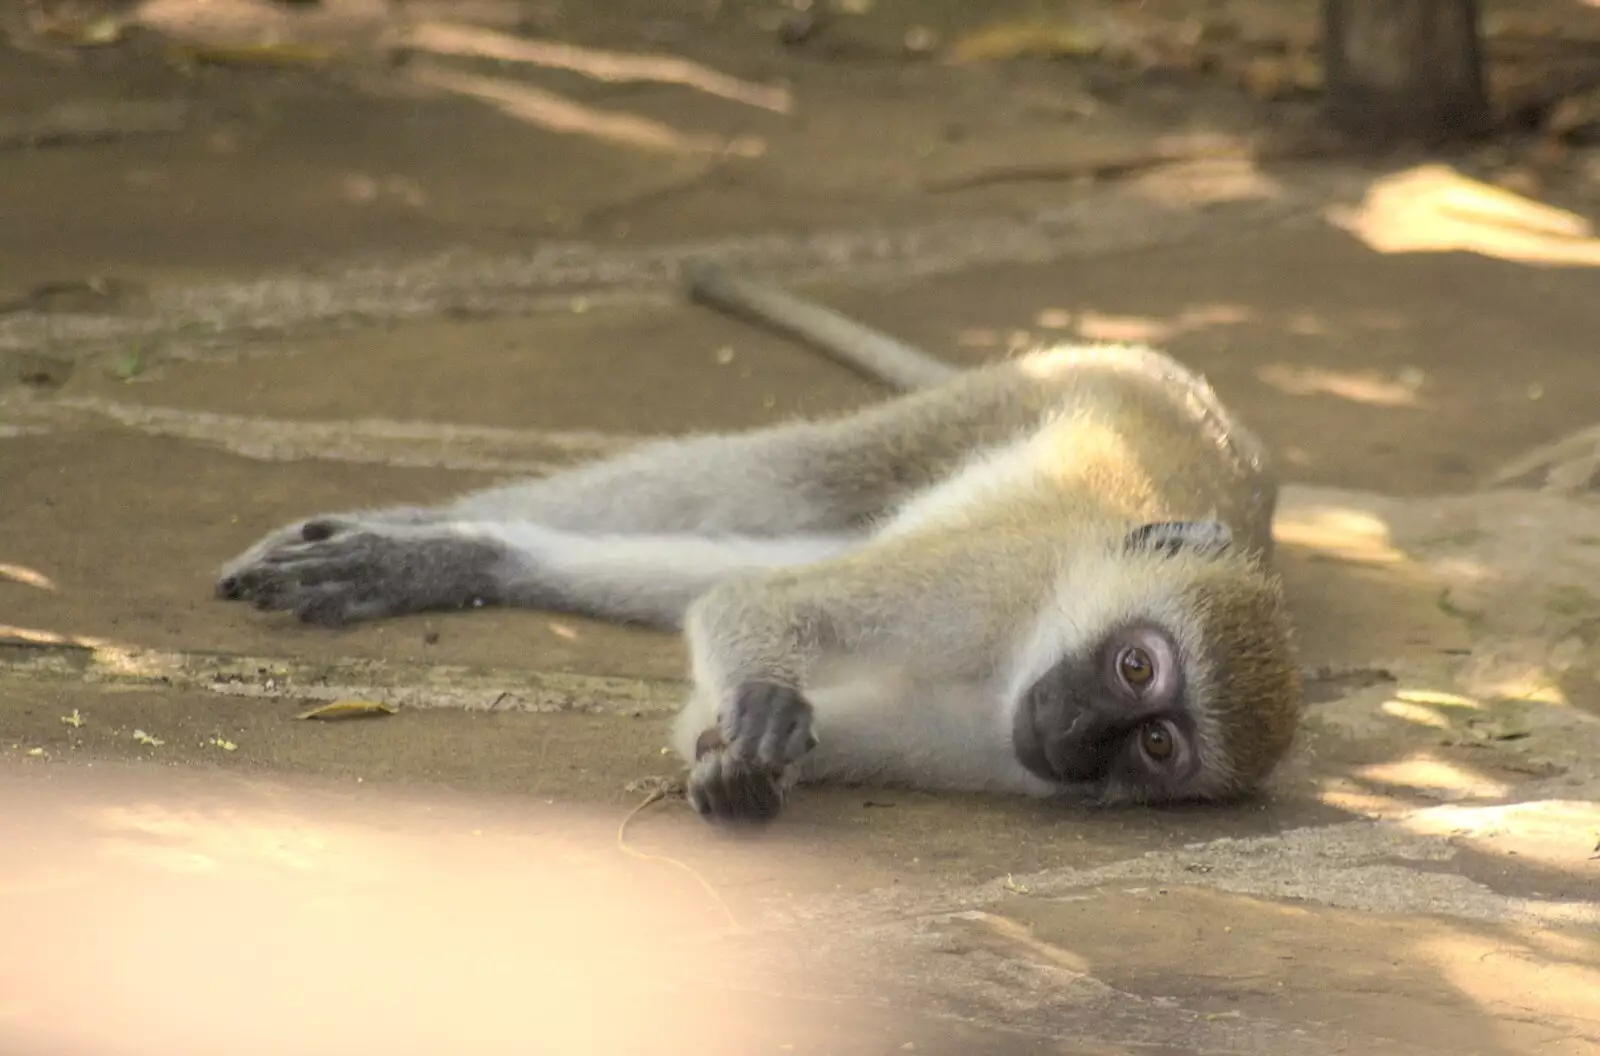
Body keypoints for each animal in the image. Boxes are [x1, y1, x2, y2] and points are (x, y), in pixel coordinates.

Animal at [216, 264, 1299, 825]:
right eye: (1133, 667)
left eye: (1156, 746)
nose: (1075, 737)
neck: (1014, 659)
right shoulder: (992, 579)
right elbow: (763, 605)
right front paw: (758, 716)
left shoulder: (993, 750)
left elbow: (730, 675)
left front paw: (736, 769)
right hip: (1011, 401)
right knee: (786, 480)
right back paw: (408, 533)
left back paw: (477, 557)